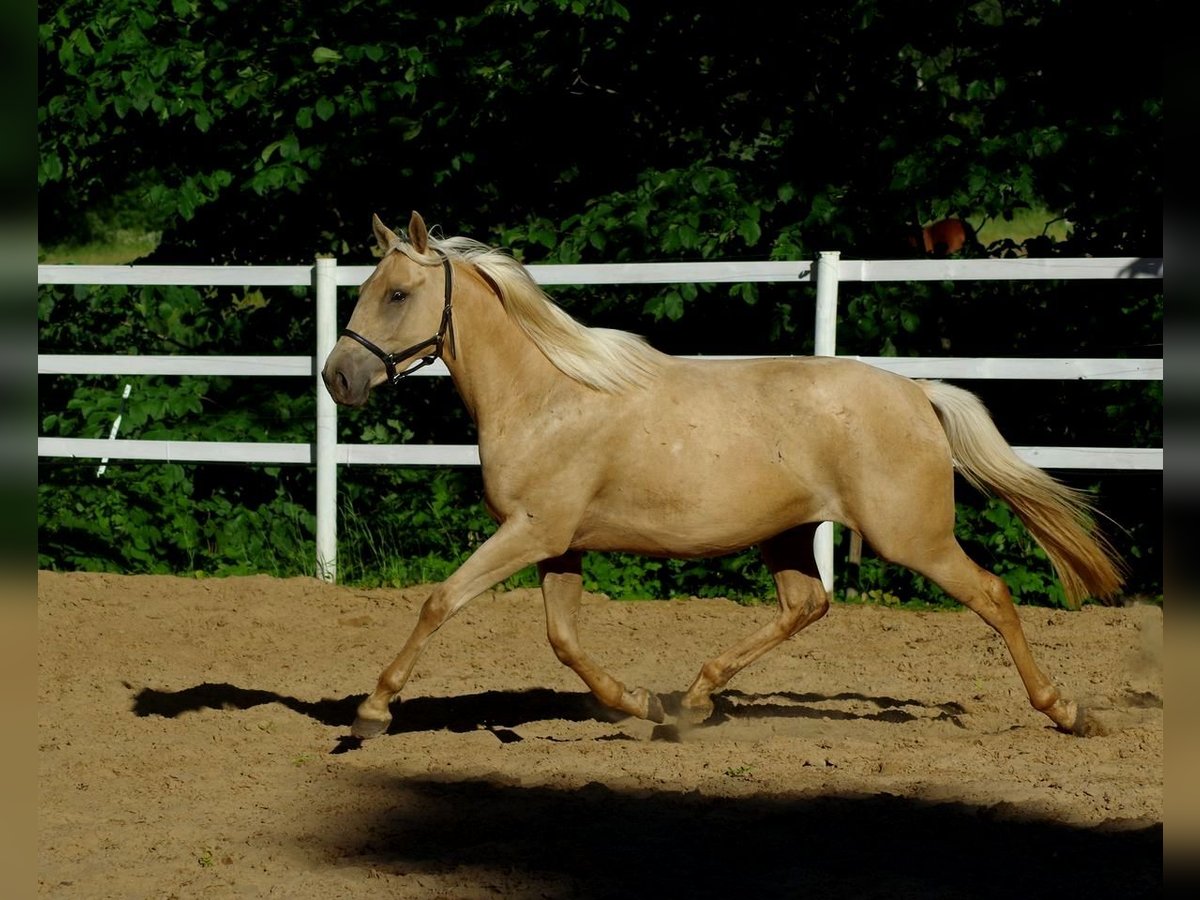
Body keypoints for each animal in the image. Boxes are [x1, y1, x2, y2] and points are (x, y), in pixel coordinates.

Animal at [321, 210, 1123, 739]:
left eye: (397, 293)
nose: (337, 377)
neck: (548, 396)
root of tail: (918, 393)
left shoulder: (531, 533)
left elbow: (440, 601)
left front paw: (371, 711)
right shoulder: (560, 545)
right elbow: (564, 640)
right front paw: (640, 704)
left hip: (912, 538)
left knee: (992, 594)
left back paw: (1066, 710)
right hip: (790, 534)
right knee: (807, 605)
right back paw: (693, 700)